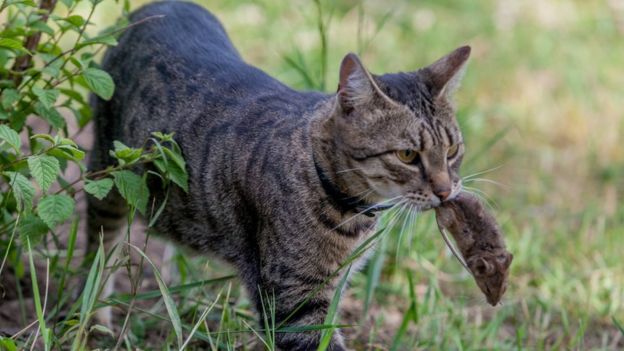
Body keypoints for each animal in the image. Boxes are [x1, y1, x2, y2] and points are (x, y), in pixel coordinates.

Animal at [86, 1, 468, 350]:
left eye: (452, 150)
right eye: (407, 155)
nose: (446, 191)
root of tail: (160, 4)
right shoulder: (294, 299)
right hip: (106, 174)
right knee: (99, 249)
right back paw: (94, 318)